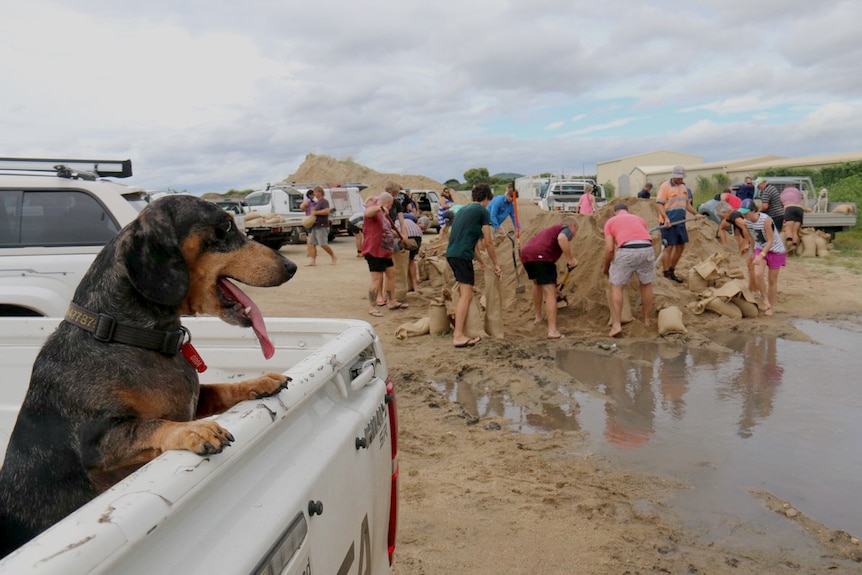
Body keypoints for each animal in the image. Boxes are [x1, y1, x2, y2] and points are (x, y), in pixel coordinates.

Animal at [0, 196, 296, 556]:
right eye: (225, 226)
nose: (291, 267)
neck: (127, 335)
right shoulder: (97, 443)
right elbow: (149, 426)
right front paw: (194, 431)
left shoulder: (196, 398)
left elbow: (220, 388)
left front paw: (259, 382)